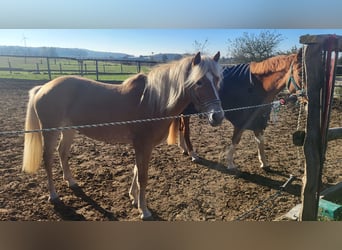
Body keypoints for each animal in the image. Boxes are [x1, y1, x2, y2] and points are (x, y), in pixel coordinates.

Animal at [22, 51, 224, 220]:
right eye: (199, 82)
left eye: (217, 79)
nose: (218, 116)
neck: (153, 101)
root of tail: (43, 87)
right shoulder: (143, 145)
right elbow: (142, 176)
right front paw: (144, 210)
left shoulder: (141, 146)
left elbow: (135, 170)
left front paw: (133, 198)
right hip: (50, 131)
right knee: (48, 158)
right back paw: (53, 195)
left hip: (69, 130)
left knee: (62, 153)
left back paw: (71, 181)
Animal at [168, 49, 302, 171]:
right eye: (301, 74)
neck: (257, 86)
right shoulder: (242, 121)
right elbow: (236, 140)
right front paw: (230, 163)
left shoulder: (258, 119)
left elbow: (260, 140)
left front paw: (264, 162)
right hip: (186, 113)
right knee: (186, 131)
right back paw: (193, 154)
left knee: (181, 128)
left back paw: (184, 149)